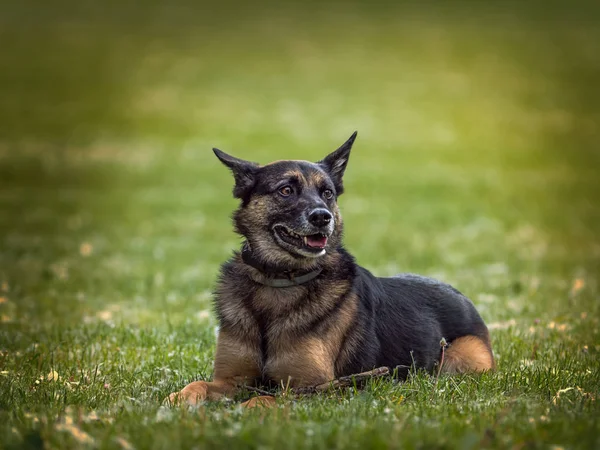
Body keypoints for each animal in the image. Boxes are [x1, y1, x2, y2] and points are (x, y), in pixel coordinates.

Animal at [168, 132, 492, 406]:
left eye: (327, 193)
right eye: (286, 190)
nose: (323, 217)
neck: (279, 280)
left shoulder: (312, 388)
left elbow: (262, 400)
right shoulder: (231, 380)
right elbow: (197, 384)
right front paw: (177, 401)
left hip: (463, 357)